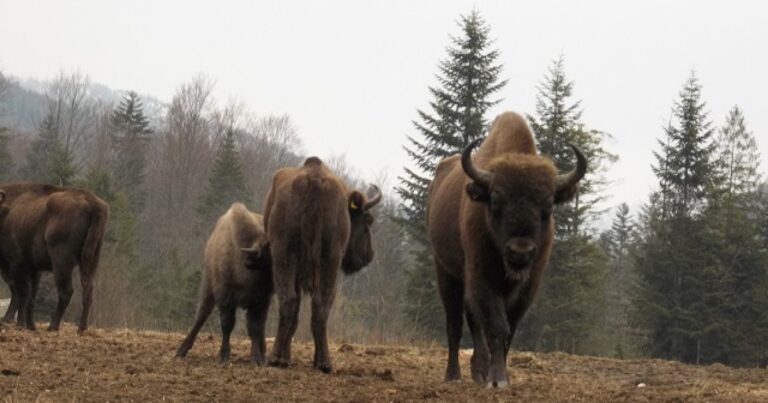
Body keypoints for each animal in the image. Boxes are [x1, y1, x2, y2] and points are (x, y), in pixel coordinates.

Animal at [0, 185, 109, 332]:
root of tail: (92, 203)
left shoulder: (17, 264)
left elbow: (22, 293)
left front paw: (18, 323)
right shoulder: (34, 269)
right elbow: (31, 296)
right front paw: (31, 326)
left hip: (61, 262)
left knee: (66, 291)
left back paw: (53, 326)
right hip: (91, 260)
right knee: (88, 290)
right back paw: (81, 329)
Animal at [176, 204, 272, 364]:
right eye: (271, 252)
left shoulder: (260, 301)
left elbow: (255, 327)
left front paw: (256, 358)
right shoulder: (225, 297)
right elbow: (227, 325)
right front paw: (224, 355)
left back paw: (263, 352)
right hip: (208, 286)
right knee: (203, 313)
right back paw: (182, 350)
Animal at [266, 157, 382, 372]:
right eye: (368, 219)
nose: (369, 255)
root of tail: (314, 182)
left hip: (288, 255)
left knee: (294, 300)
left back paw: (284, 358)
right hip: (324, 258)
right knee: (314, 303)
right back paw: (319, 362)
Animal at [426, 111, 588, 388]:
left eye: (548, 206)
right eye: (496, 201)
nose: (520, 251)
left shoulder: (528, 285)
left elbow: (508, 327)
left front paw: (499, 377)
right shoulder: (483, 276)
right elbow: (496, 326)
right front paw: (498, 380)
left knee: (472, 320)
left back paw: (479, 372)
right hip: (446, 270)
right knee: (454, 323)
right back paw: (453, 375)